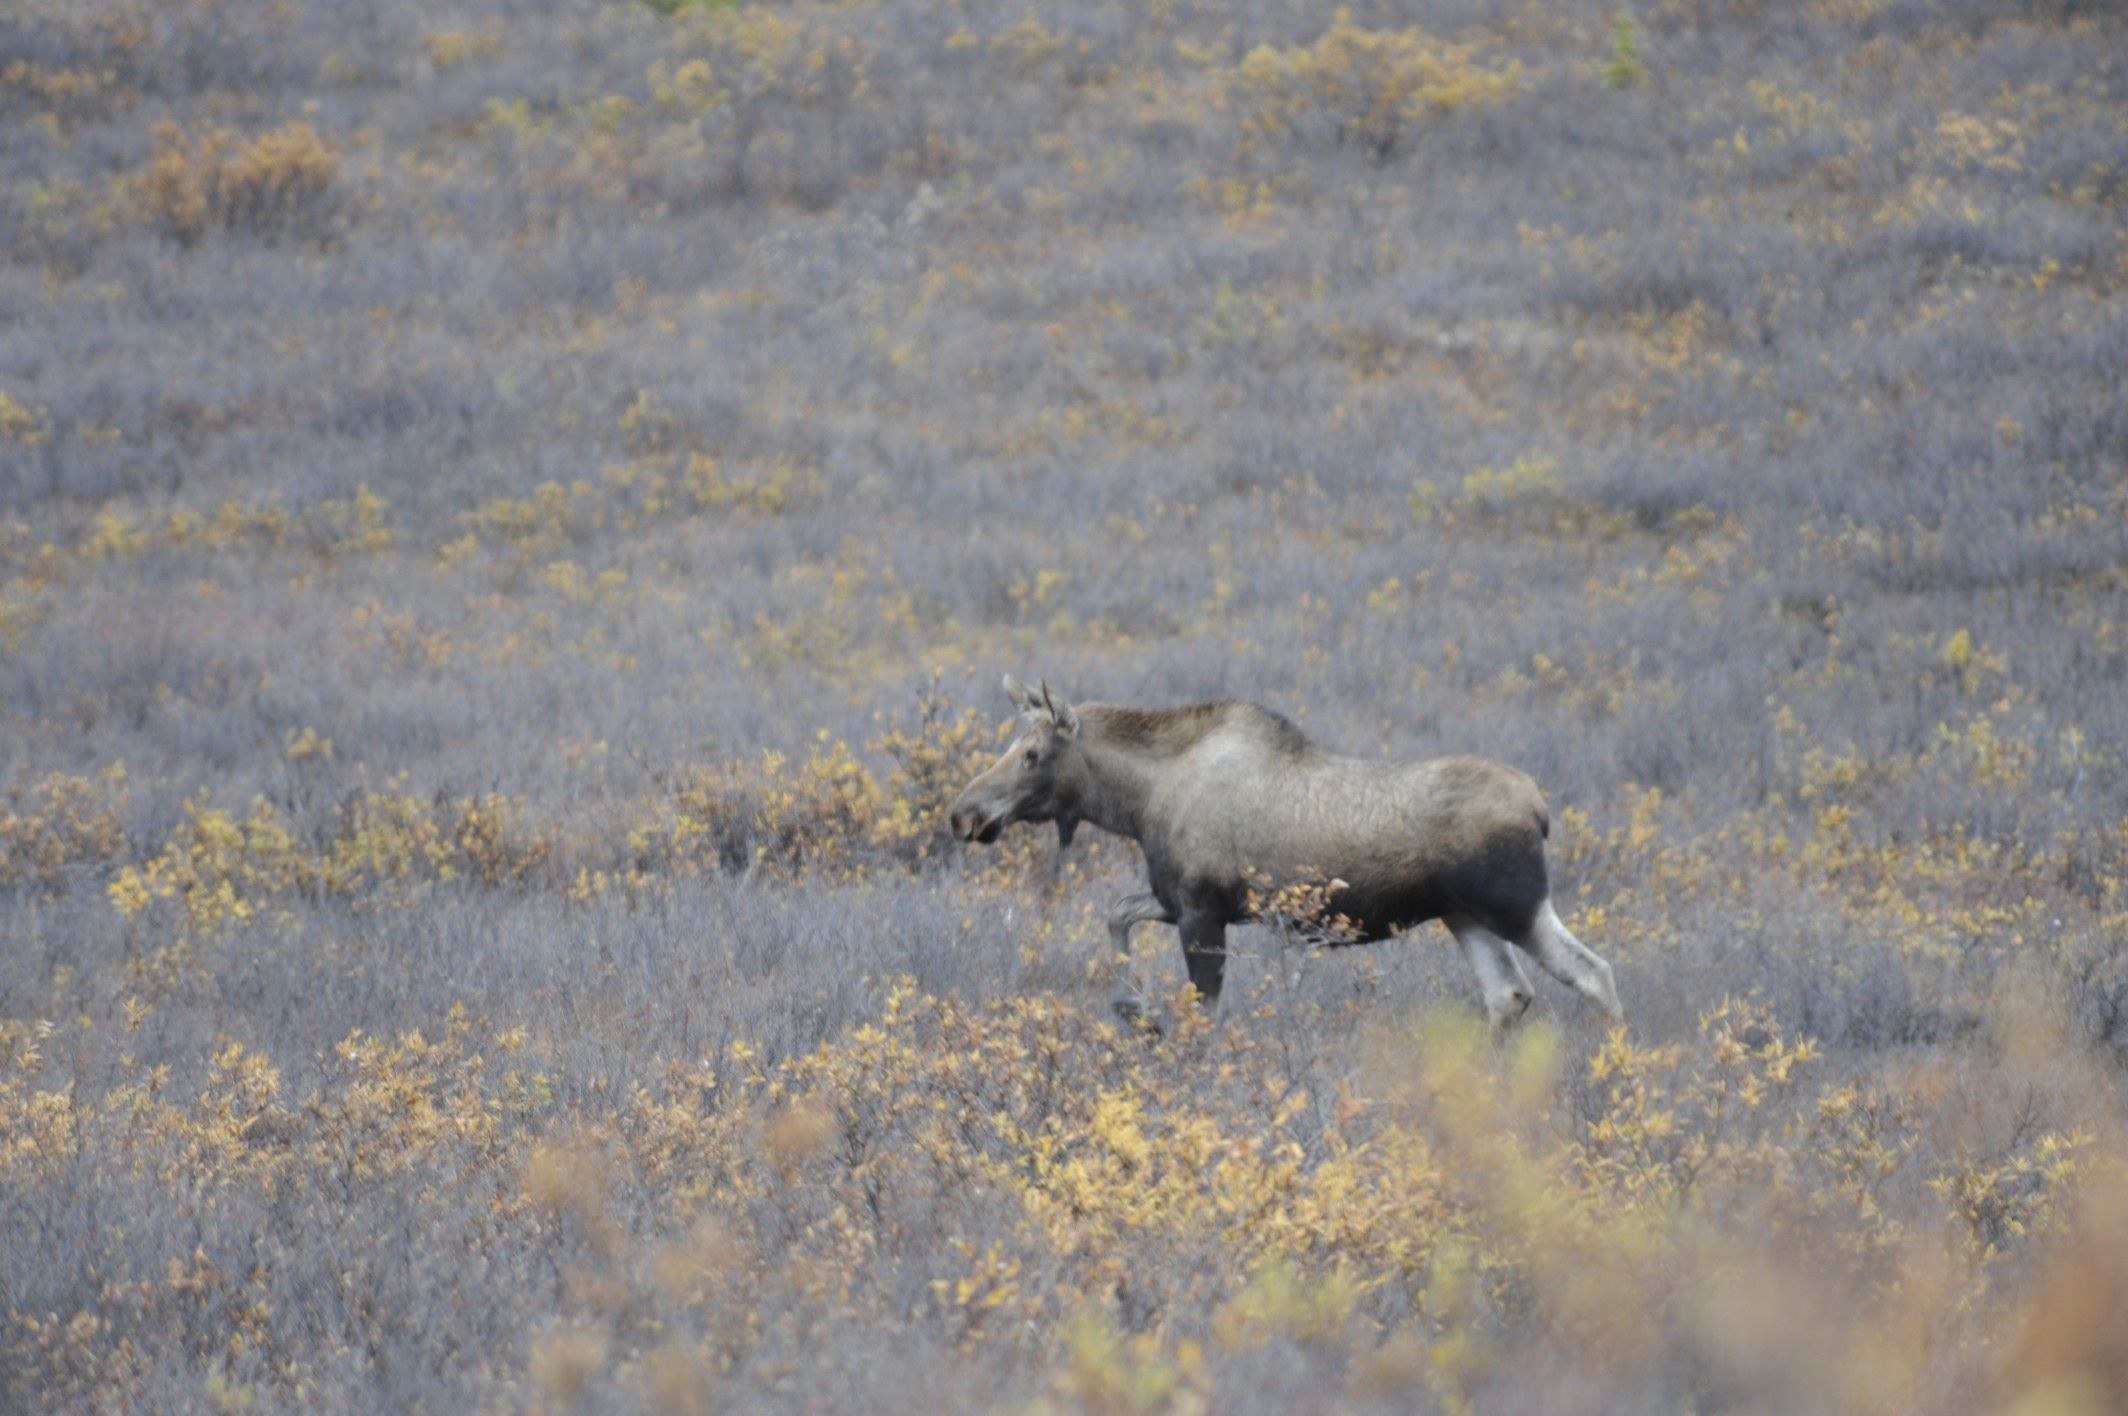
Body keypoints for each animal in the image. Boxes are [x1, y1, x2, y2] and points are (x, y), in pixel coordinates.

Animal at [940, 672, 1617, 1026]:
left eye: (1031, 754)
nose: (963, 814)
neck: (1134, 804)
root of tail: (1540, 806)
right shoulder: (1177, 898)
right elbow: (1116, 915)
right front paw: (1131, 1004)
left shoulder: (1202, 911)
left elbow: (1204, 1013)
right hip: (1464, 915)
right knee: (1509, 994)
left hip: (1516, 906)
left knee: (1592, 972)